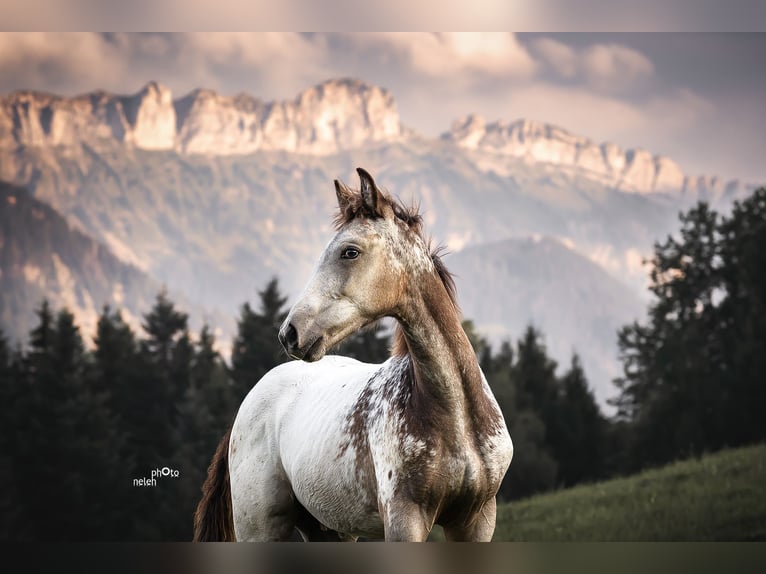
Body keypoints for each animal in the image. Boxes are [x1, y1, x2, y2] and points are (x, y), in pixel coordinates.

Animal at [193, 168, 513, 542]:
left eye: (349, 252)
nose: (290, 333)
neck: (456, 419)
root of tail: (246, 406)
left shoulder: (476, 521)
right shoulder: (404, 520)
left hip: (328, 529)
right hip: (260, 529)